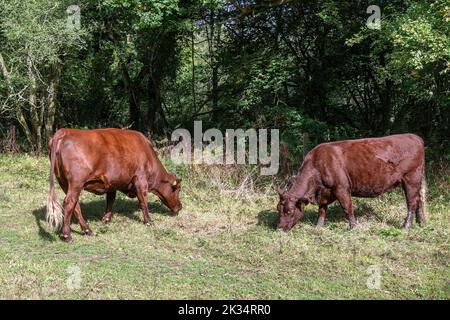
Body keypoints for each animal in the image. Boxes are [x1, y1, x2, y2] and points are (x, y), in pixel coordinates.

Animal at [46, 129, 183, 241]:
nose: (180, 207)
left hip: (64, 182)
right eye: (178, 189)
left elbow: (110, 200)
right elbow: (143, 201)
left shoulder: (112, 183)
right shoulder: (140, 179)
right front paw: (148, 221)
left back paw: (87, 230)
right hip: (76, 183)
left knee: (75, 205)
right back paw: (67, 235)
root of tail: (65, 131)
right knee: (70, 202)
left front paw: (106, 219)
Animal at [276, 134, 428, 231]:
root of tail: (415, 137)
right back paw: (421, 222)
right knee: (419, 200)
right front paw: (318, 226)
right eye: (278, 209)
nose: (279, 228)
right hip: (416, 180)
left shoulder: (341, 188)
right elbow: (322, 209)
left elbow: (347, 208)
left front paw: (353, 228)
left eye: (289, 211)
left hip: (411, 178)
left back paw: (405, 227)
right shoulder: (324, 191)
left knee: (412, 203)